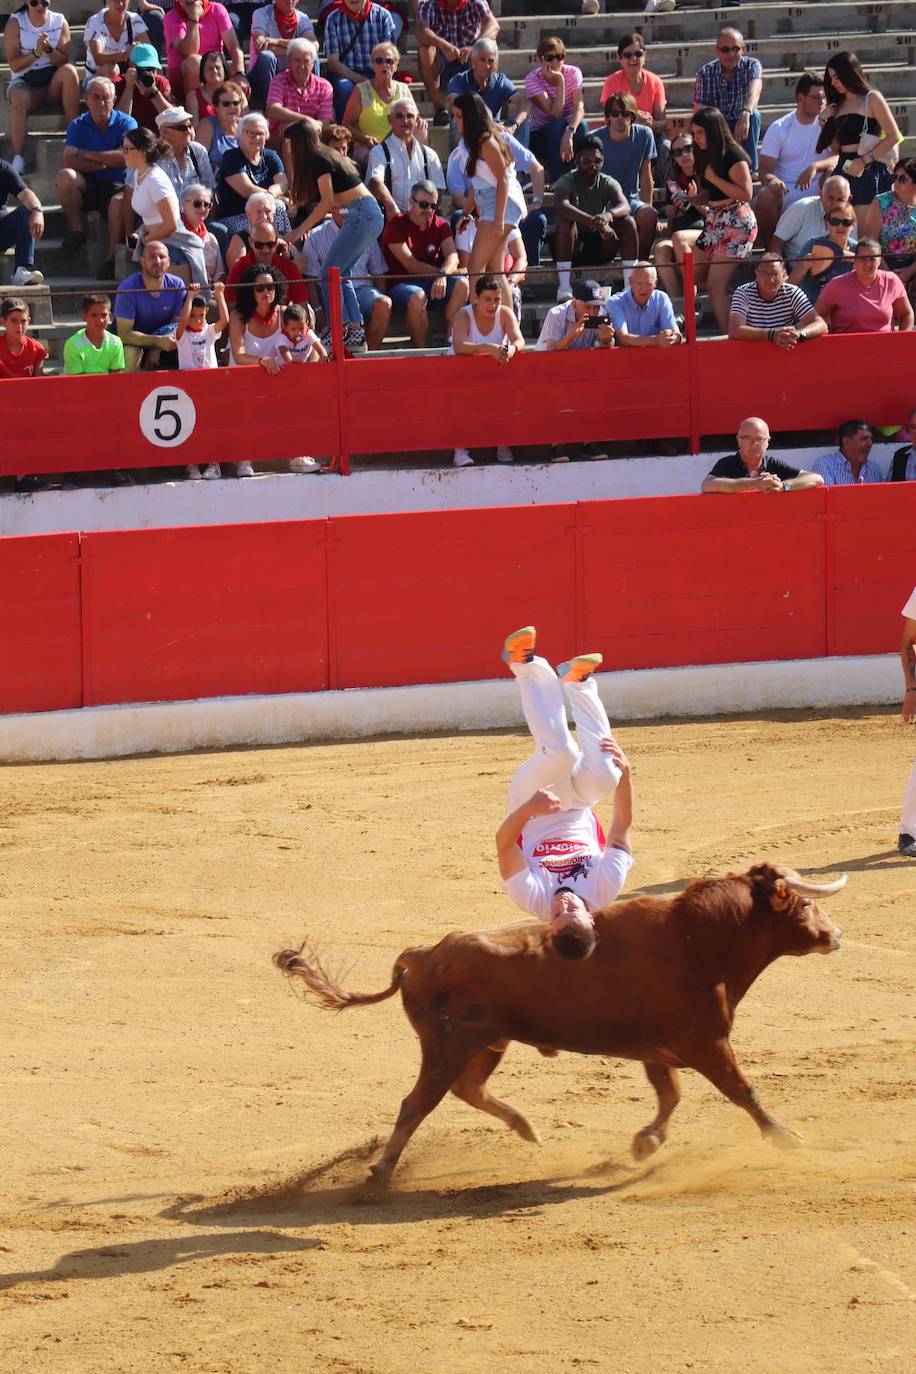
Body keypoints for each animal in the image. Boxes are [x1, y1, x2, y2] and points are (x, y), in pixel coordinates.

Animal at [271, 862, 845, 1187]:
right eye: (805, 902)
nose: (836, 934)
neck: (702, 940)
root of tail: (422, 953)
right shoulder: (706, 1042)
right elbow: (741, 1090)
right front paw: (785, 1137)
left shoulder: (660, 1050)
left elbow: (671, 1095)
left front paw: (645, 1143)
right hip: (447, 1046)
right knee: (417, 1104)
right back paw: (381, 1173)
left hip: (486, 1044)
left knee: (467, 1090)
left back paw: (527, 1129)